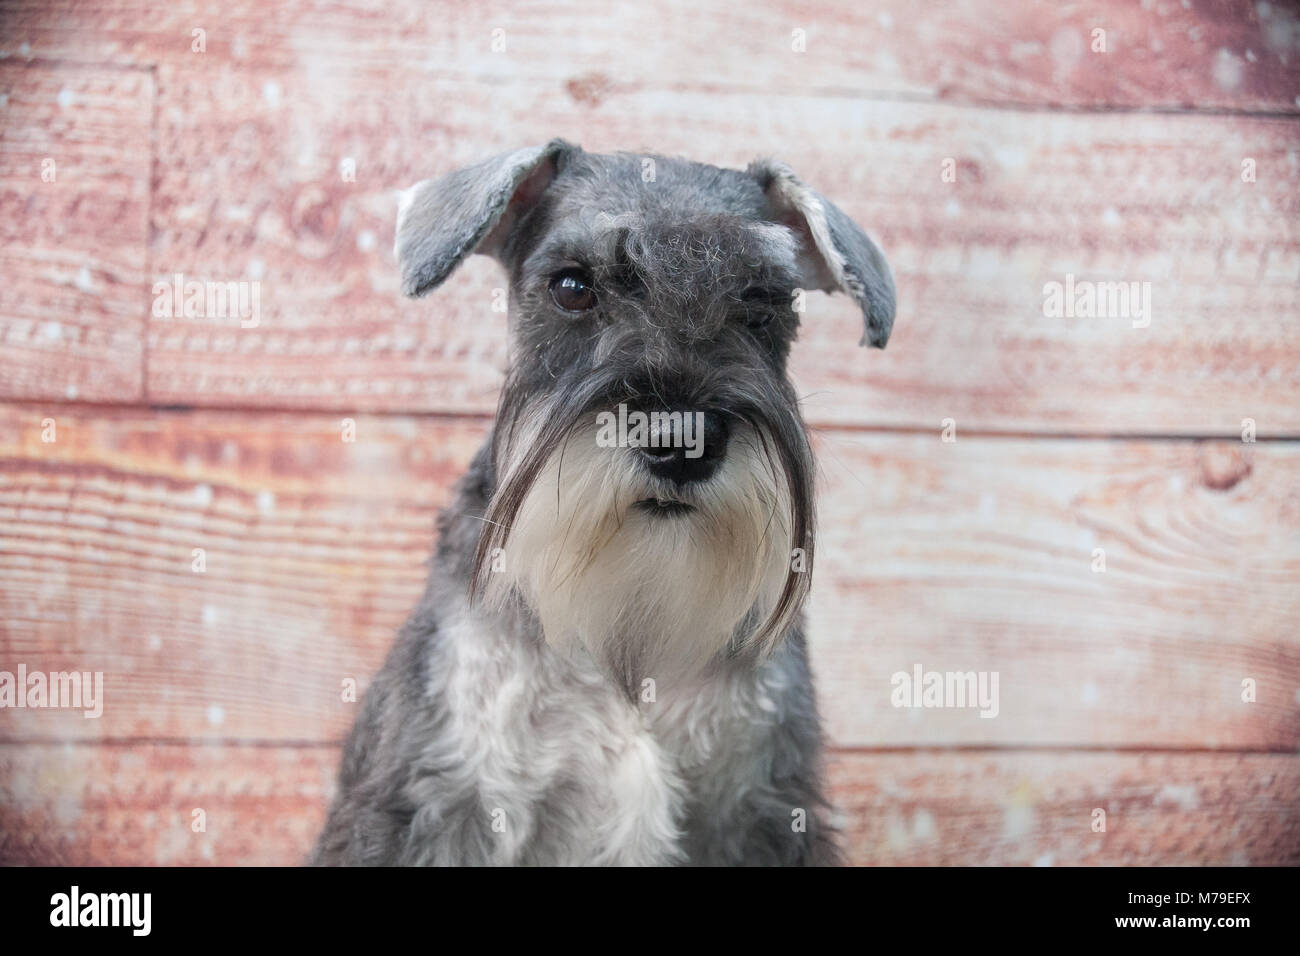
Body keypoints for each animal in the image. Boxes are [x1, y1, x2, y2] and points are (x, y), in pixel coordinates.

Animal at [312, 141, 894, 868]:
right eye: (572, 287)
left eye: (762, 302)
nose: (681, 440)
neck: (630, 638)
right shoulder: (437, 799)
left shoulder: (762, 810)